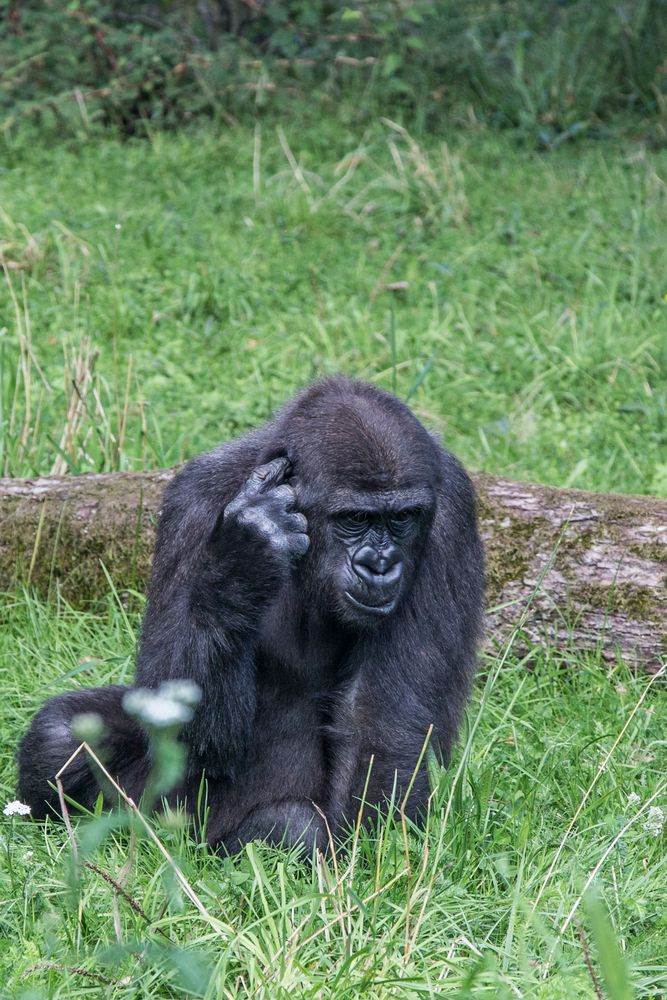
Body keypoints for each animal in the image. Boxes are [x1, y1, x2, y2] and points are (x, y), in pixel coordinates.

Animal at [17, 378, 486, 856]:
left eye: (403, 518)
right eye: (355, 518)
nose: (380, 565)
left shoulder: (451, 517)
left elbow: (375, 723)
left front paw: (364, 856)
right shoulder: (195, 500)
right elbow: (177, 718)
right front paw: (243, 558)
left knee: (291, 827)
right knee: (60, 734)